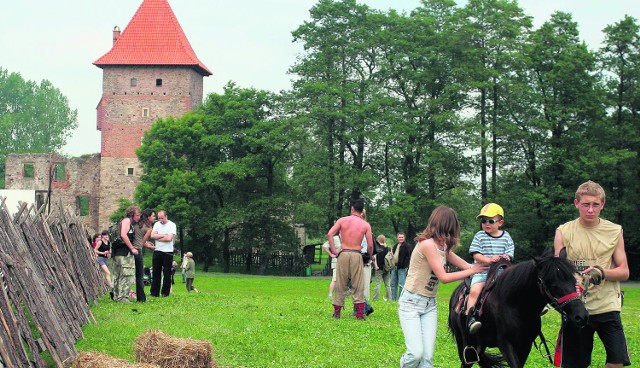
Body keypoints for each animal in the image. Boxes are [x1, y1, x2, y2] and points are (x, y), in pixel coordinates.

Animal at [448, 254, 588, 366]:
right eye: (551, 283)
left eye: (573, 280)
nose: (581, 316)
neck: (517, 306)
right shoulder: (506, 345)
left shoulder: (525, 345)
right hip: (466, 346)